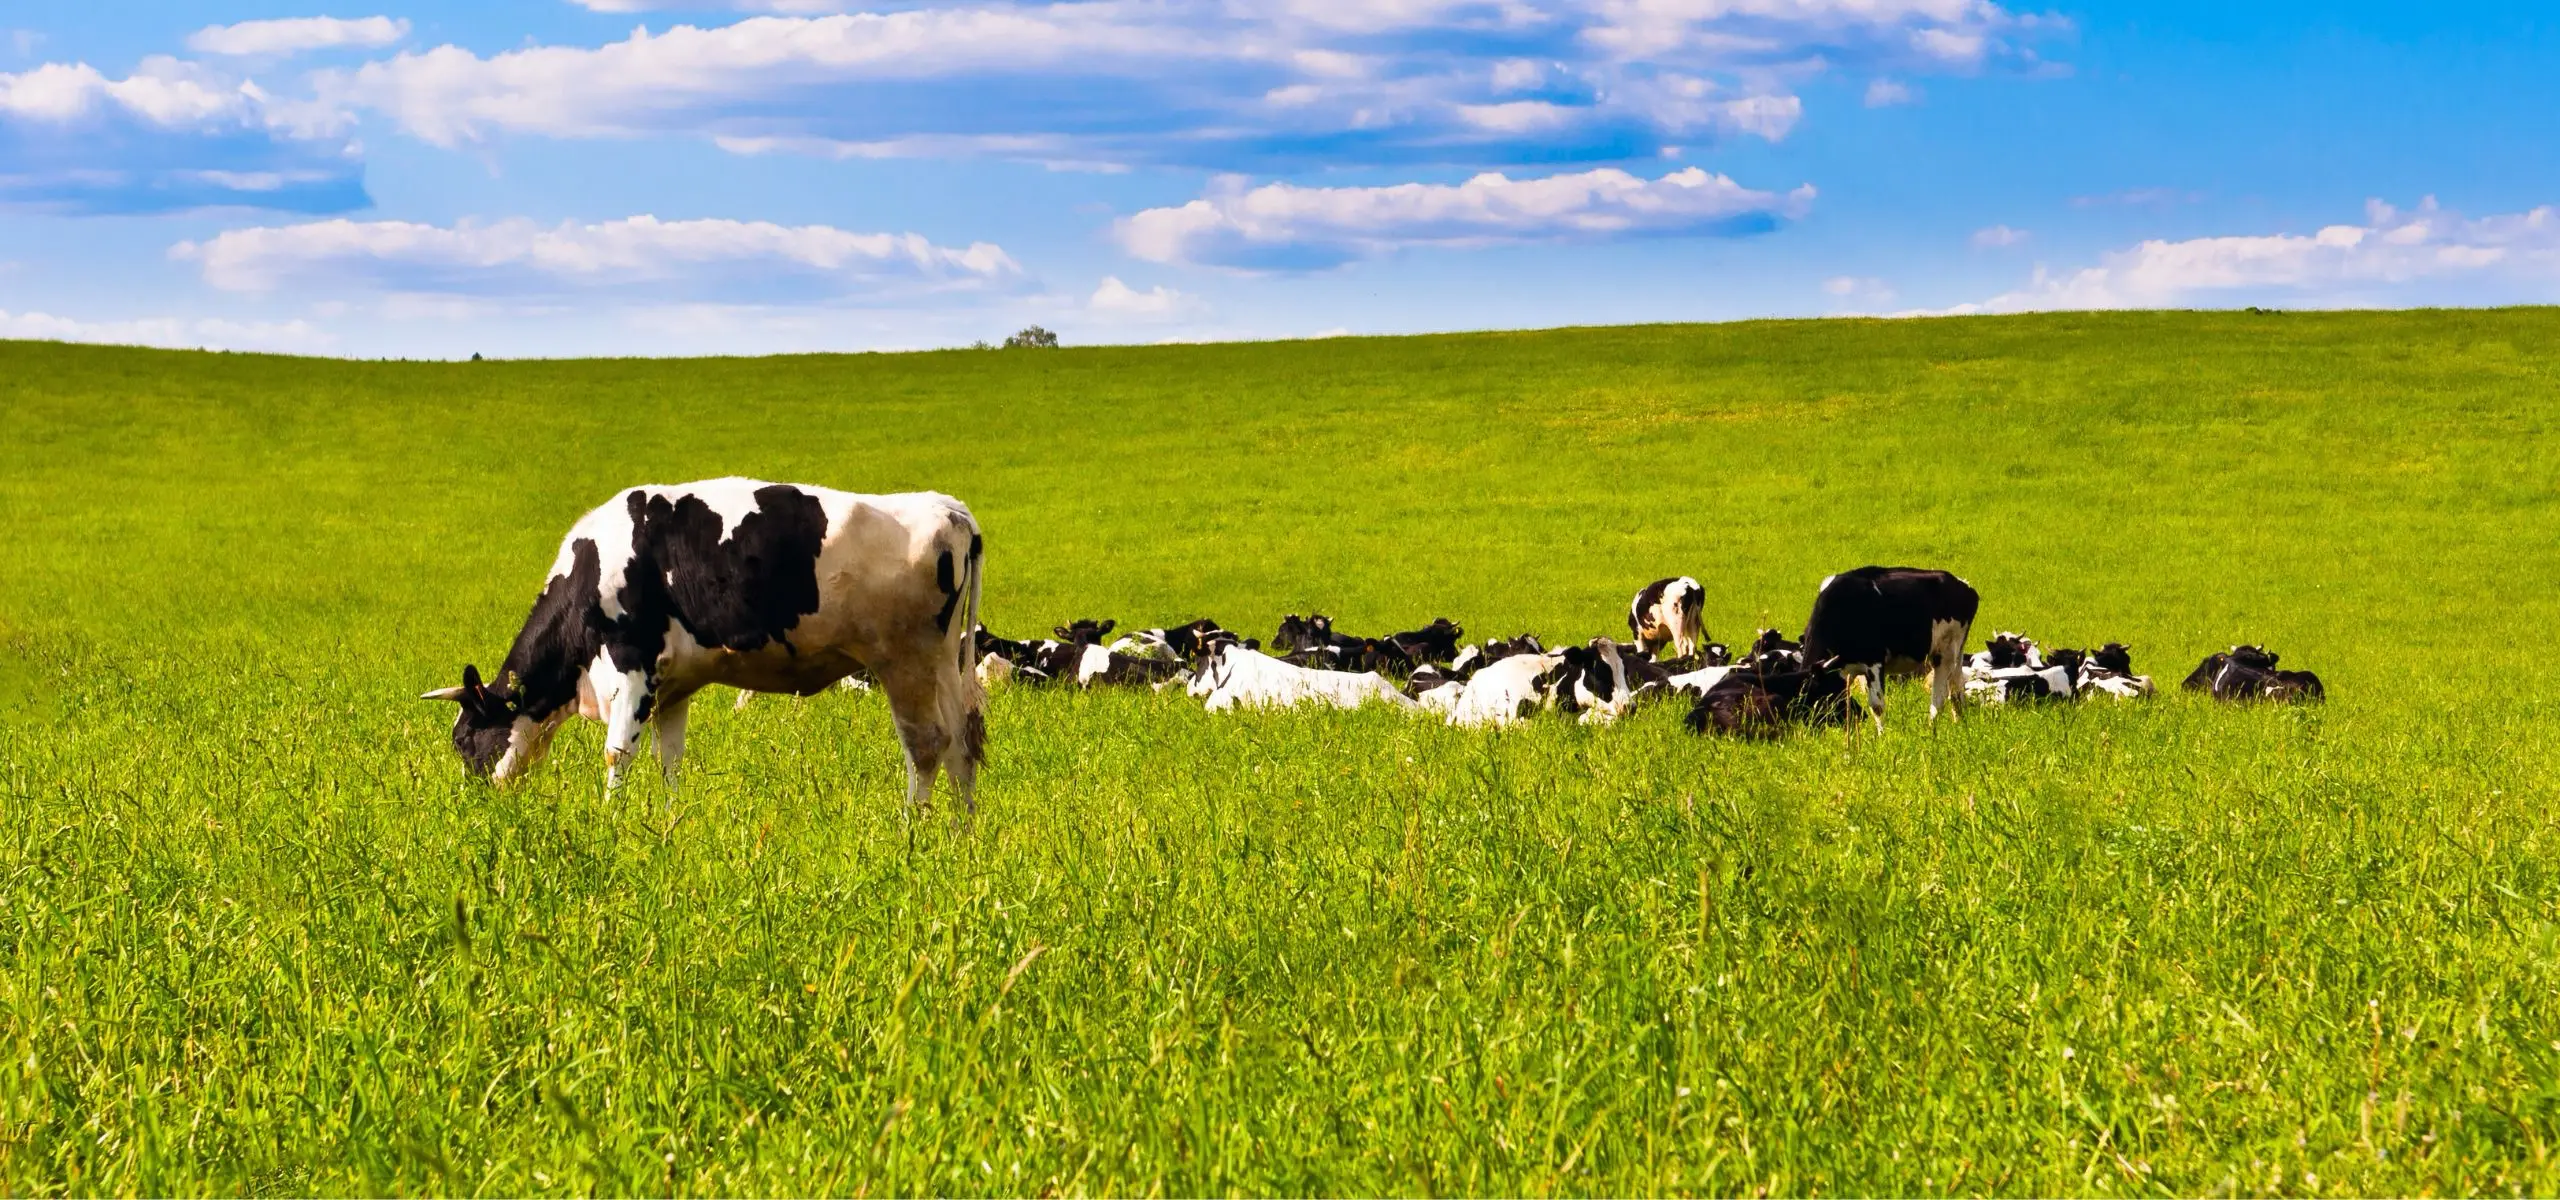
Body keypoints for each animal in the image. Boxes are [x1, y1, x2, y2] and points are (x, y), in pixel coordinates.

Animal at [1802, 565, 1976, 726]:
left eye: (1820, 696)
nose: (1812, 727)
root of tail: (1963, 584)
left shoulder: (1874, 661)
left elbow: (1877, 706)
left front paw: (1882, 737)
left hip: (1944, 653)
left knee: (1939, 698)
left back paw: (1931, 730)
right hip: (1957, 653)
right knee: (1957, 690)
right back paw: (1960, 724)